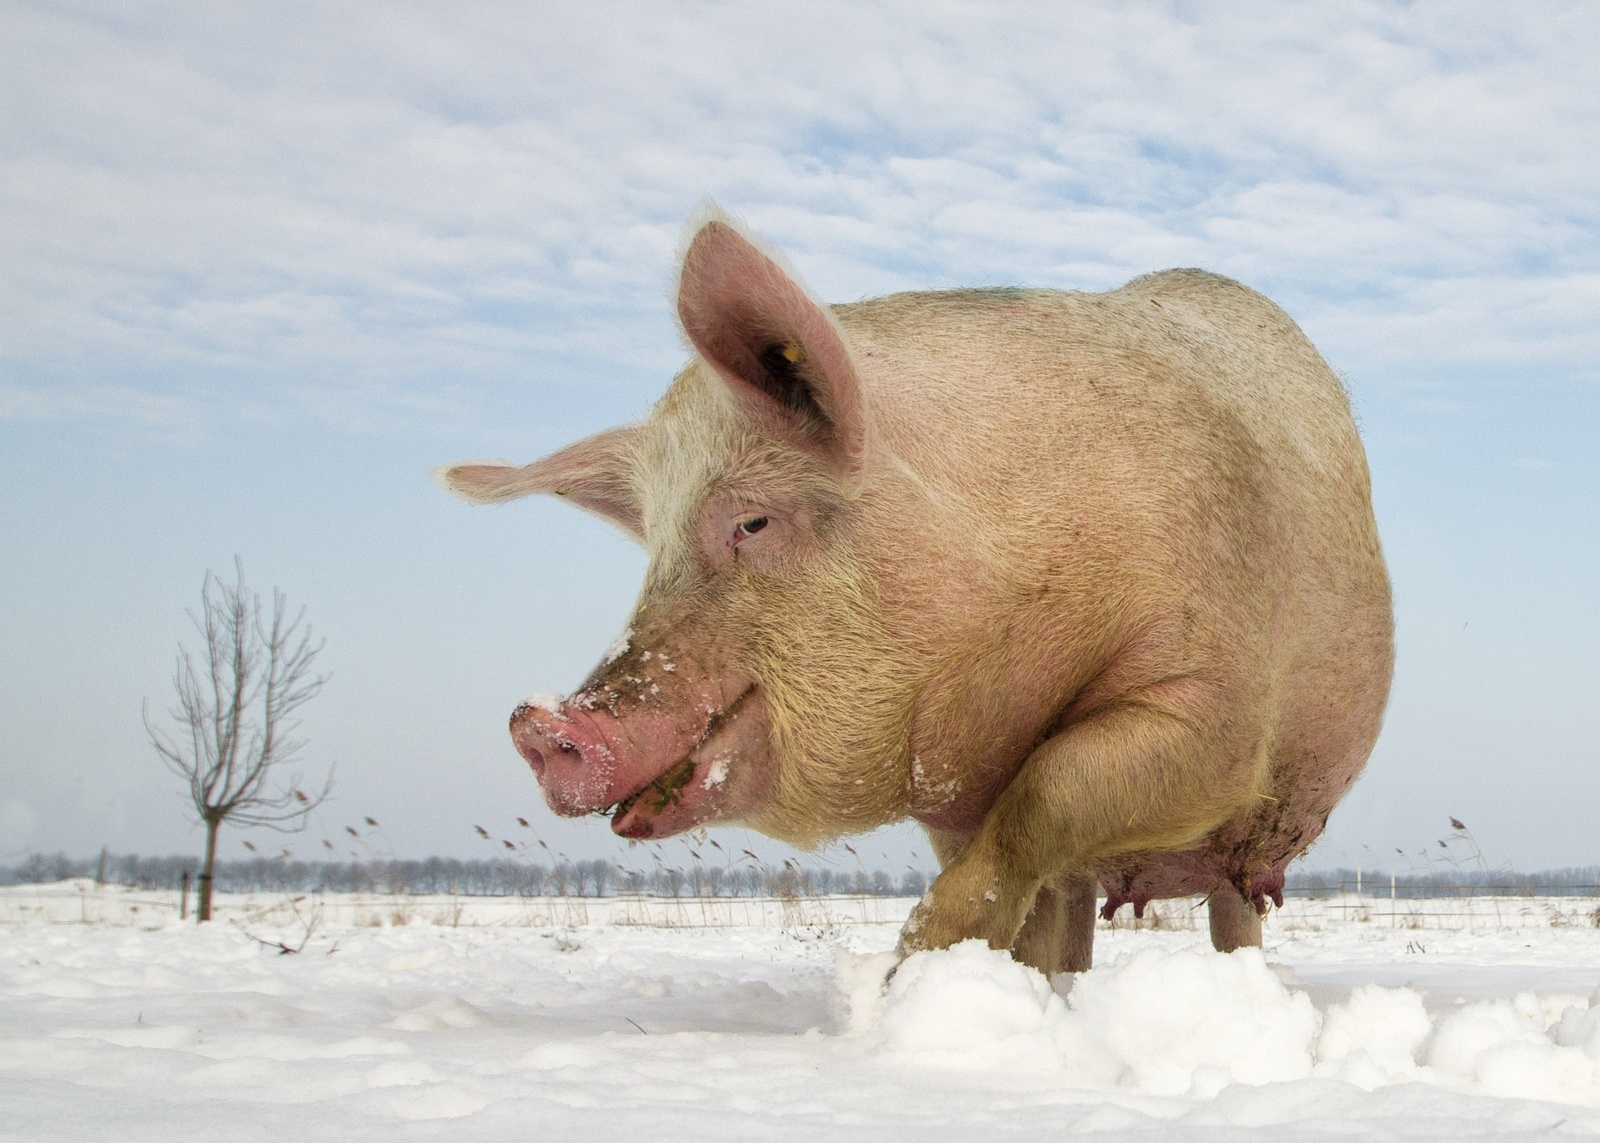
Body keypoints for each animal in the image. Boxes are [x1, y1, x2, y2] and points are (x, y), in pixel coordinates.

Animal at [438, 209, 1388, 966]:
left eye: (753, 522)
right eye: (653, 543)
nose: (537, 722)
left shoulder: (1215, 706)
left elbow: (1046, 796)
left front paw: (908, 966)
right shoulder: (953, 798)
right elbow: (1015, 875)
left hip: (1247, 834)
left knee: (1232, 905)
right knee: (1076, 907)